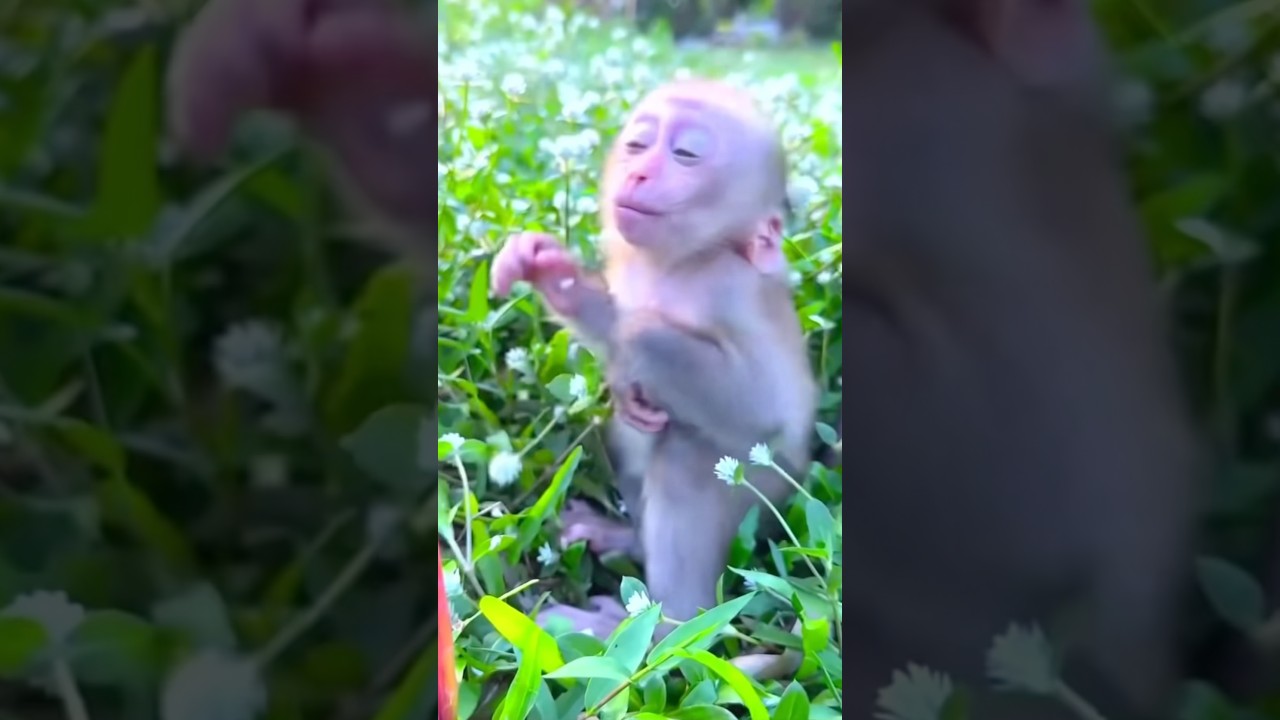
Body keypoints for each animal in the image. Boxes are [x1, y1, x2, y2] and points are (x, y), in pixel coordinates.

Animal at [490, 79, 822, 640]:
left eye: (686, 154)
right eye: (637, 145)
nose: (638, 172)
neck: (678, 263)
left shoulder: (729, 287)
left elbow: (758, 404)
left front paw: (634, 337)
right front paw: (553, 275)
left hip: (764, 486)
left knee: (686, 458)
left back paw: (657, 628)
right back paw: (625, 540)